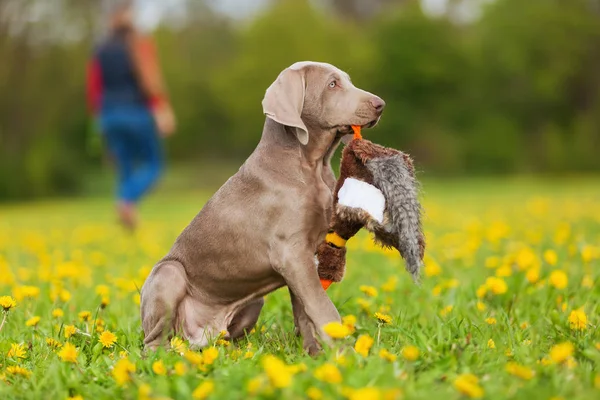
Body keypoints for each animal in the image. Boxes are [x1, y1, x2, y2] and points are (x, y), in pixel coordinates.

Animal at [140, 61, 384, 354]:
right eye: (332, 84)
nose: (380, 104)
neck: (311, 165)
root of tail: (197, 336)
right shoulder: (291, 252)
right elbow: (321, 307)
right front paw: (343, 353)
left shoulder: (305, 256)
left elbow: (304, 310)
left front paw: (312, 354)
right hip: (169, 274)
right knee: (152, 342)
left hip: (251, 305)